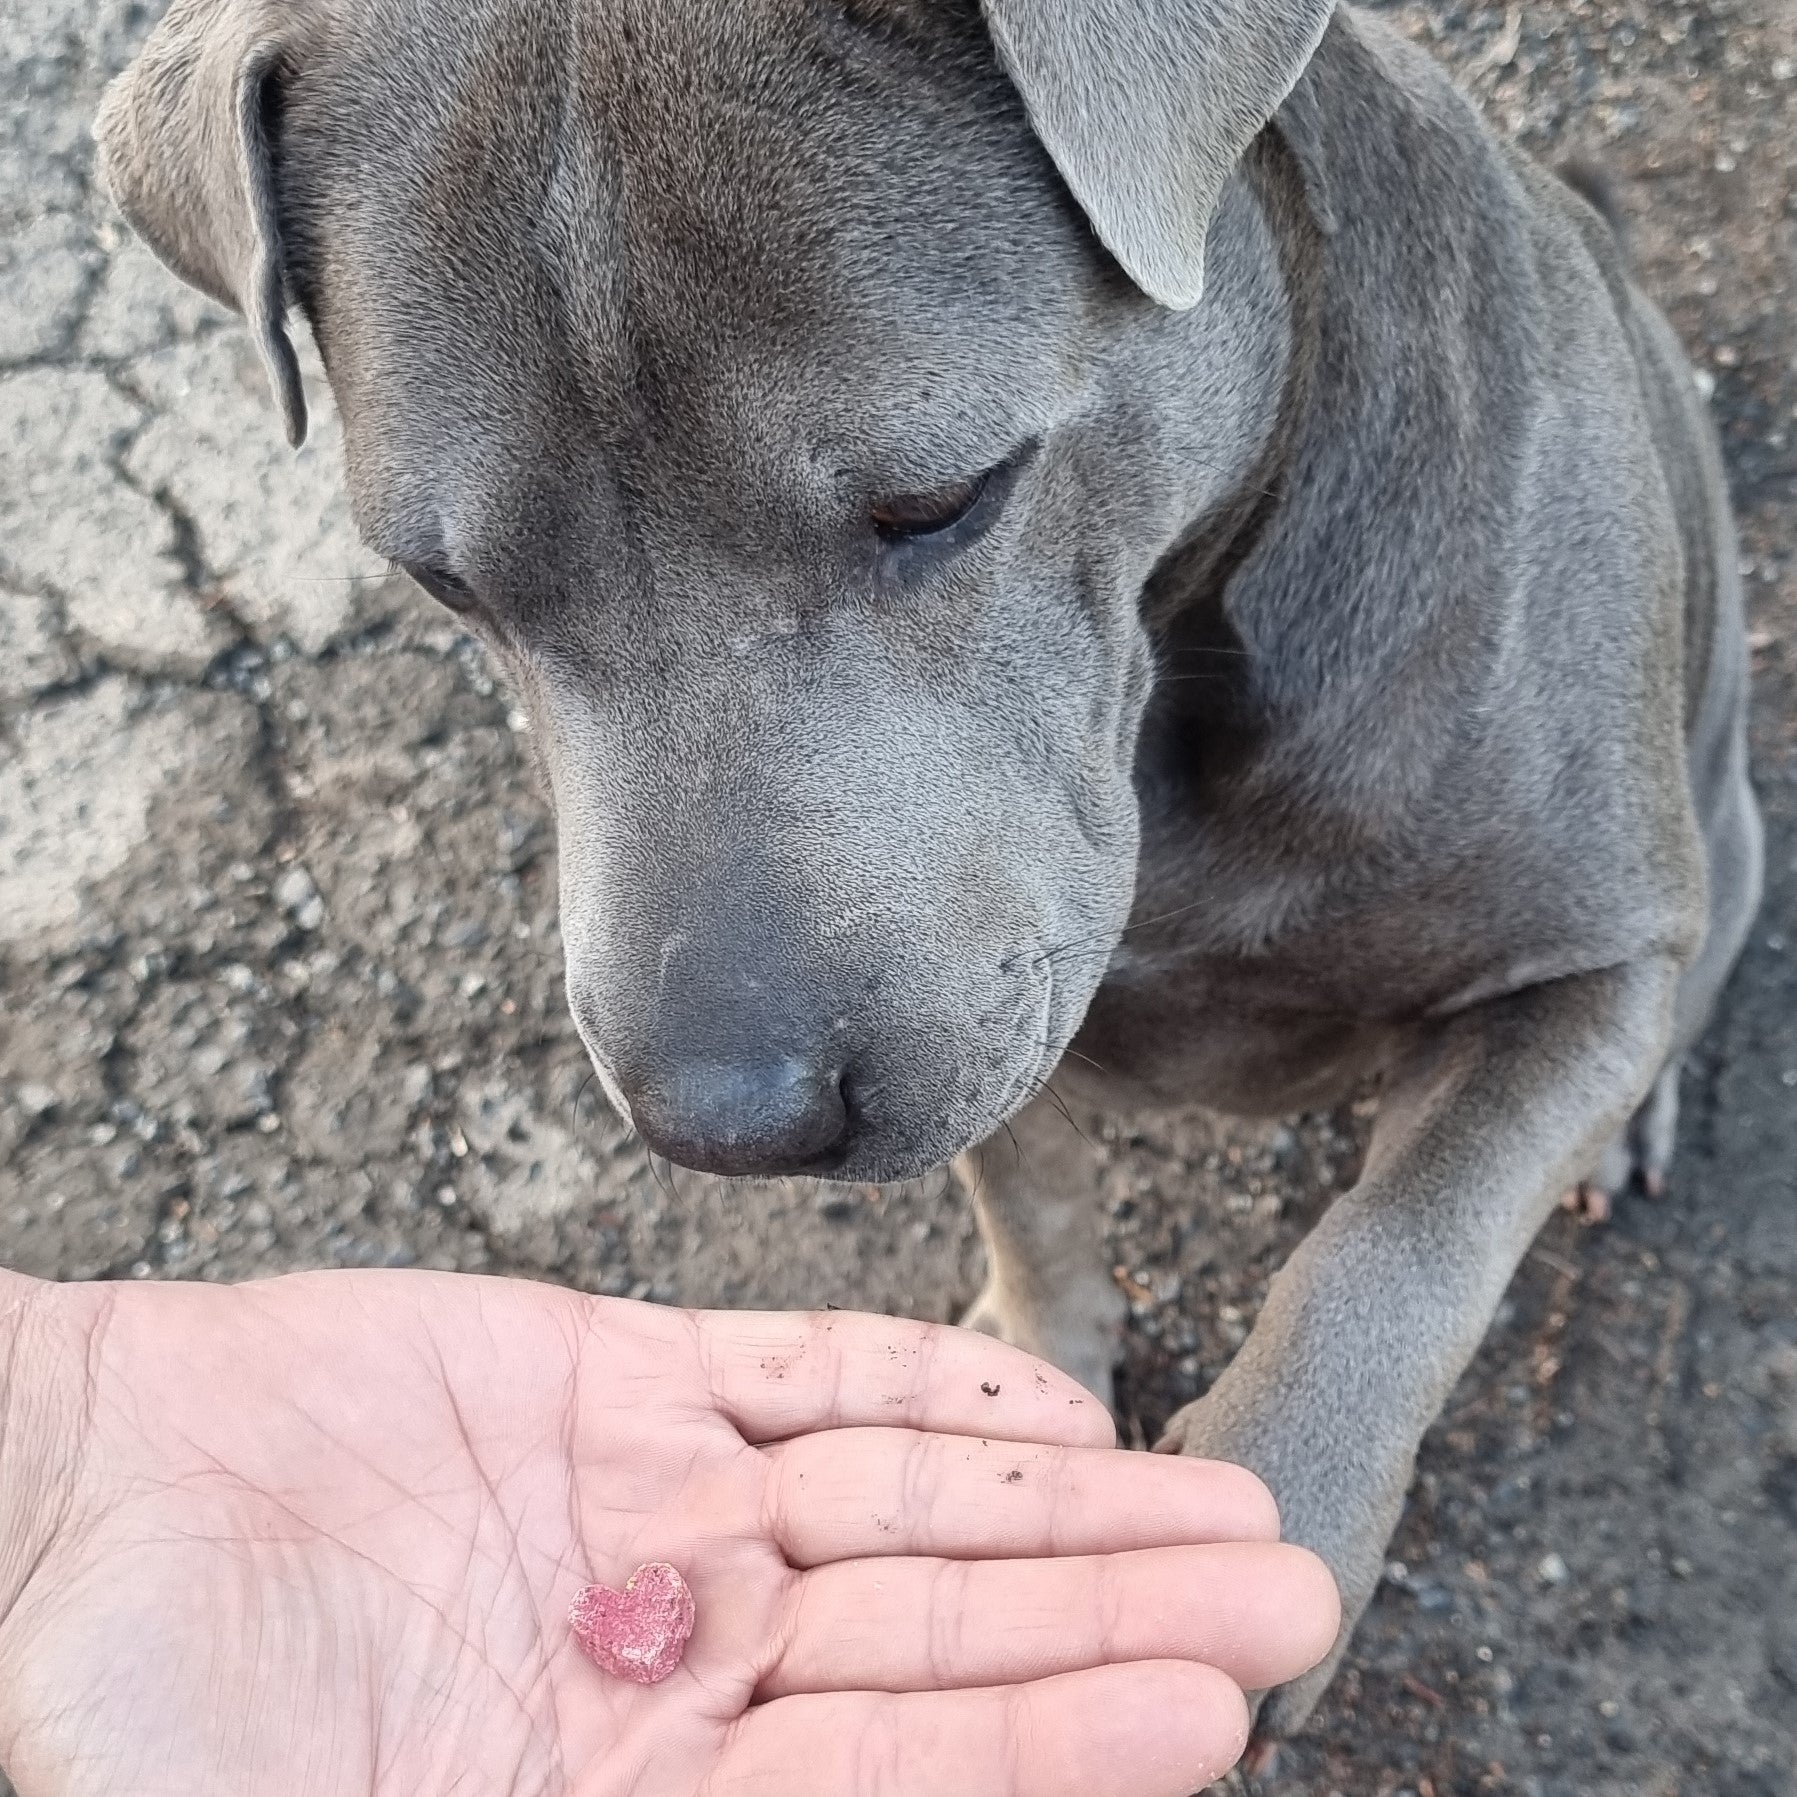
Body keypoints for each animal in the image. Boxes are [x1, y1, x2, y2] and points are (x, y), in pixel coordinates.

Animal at [94, 0, 1753, 1746]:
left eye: (943, 499)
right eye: (444, 583)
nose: (722, 1123)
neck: (1181, 683)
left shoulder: (1592, 955)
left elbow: (1409, 1237)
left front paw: (1284, 1509)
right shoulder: (983, 994)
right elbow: (1021, 1187)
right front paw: (1032, 1357)